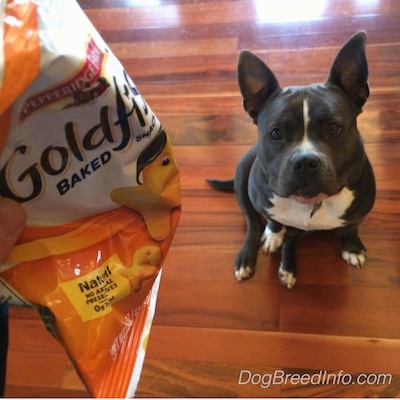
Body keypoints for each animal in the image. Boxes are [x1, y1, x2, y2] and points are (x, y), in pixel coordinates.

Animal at [208, 30, 376, 288]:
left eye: (333, 128)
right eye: (275, 133)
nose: (305, 162)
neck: (312, 202)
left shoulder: (359, 211)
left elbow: (351, 228)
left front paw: (352, 248)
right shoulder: (264, 203)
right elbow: (273, 221)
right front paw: (273, 235)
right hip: (243, 177)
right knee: (253, 224)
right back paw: (248, 257)